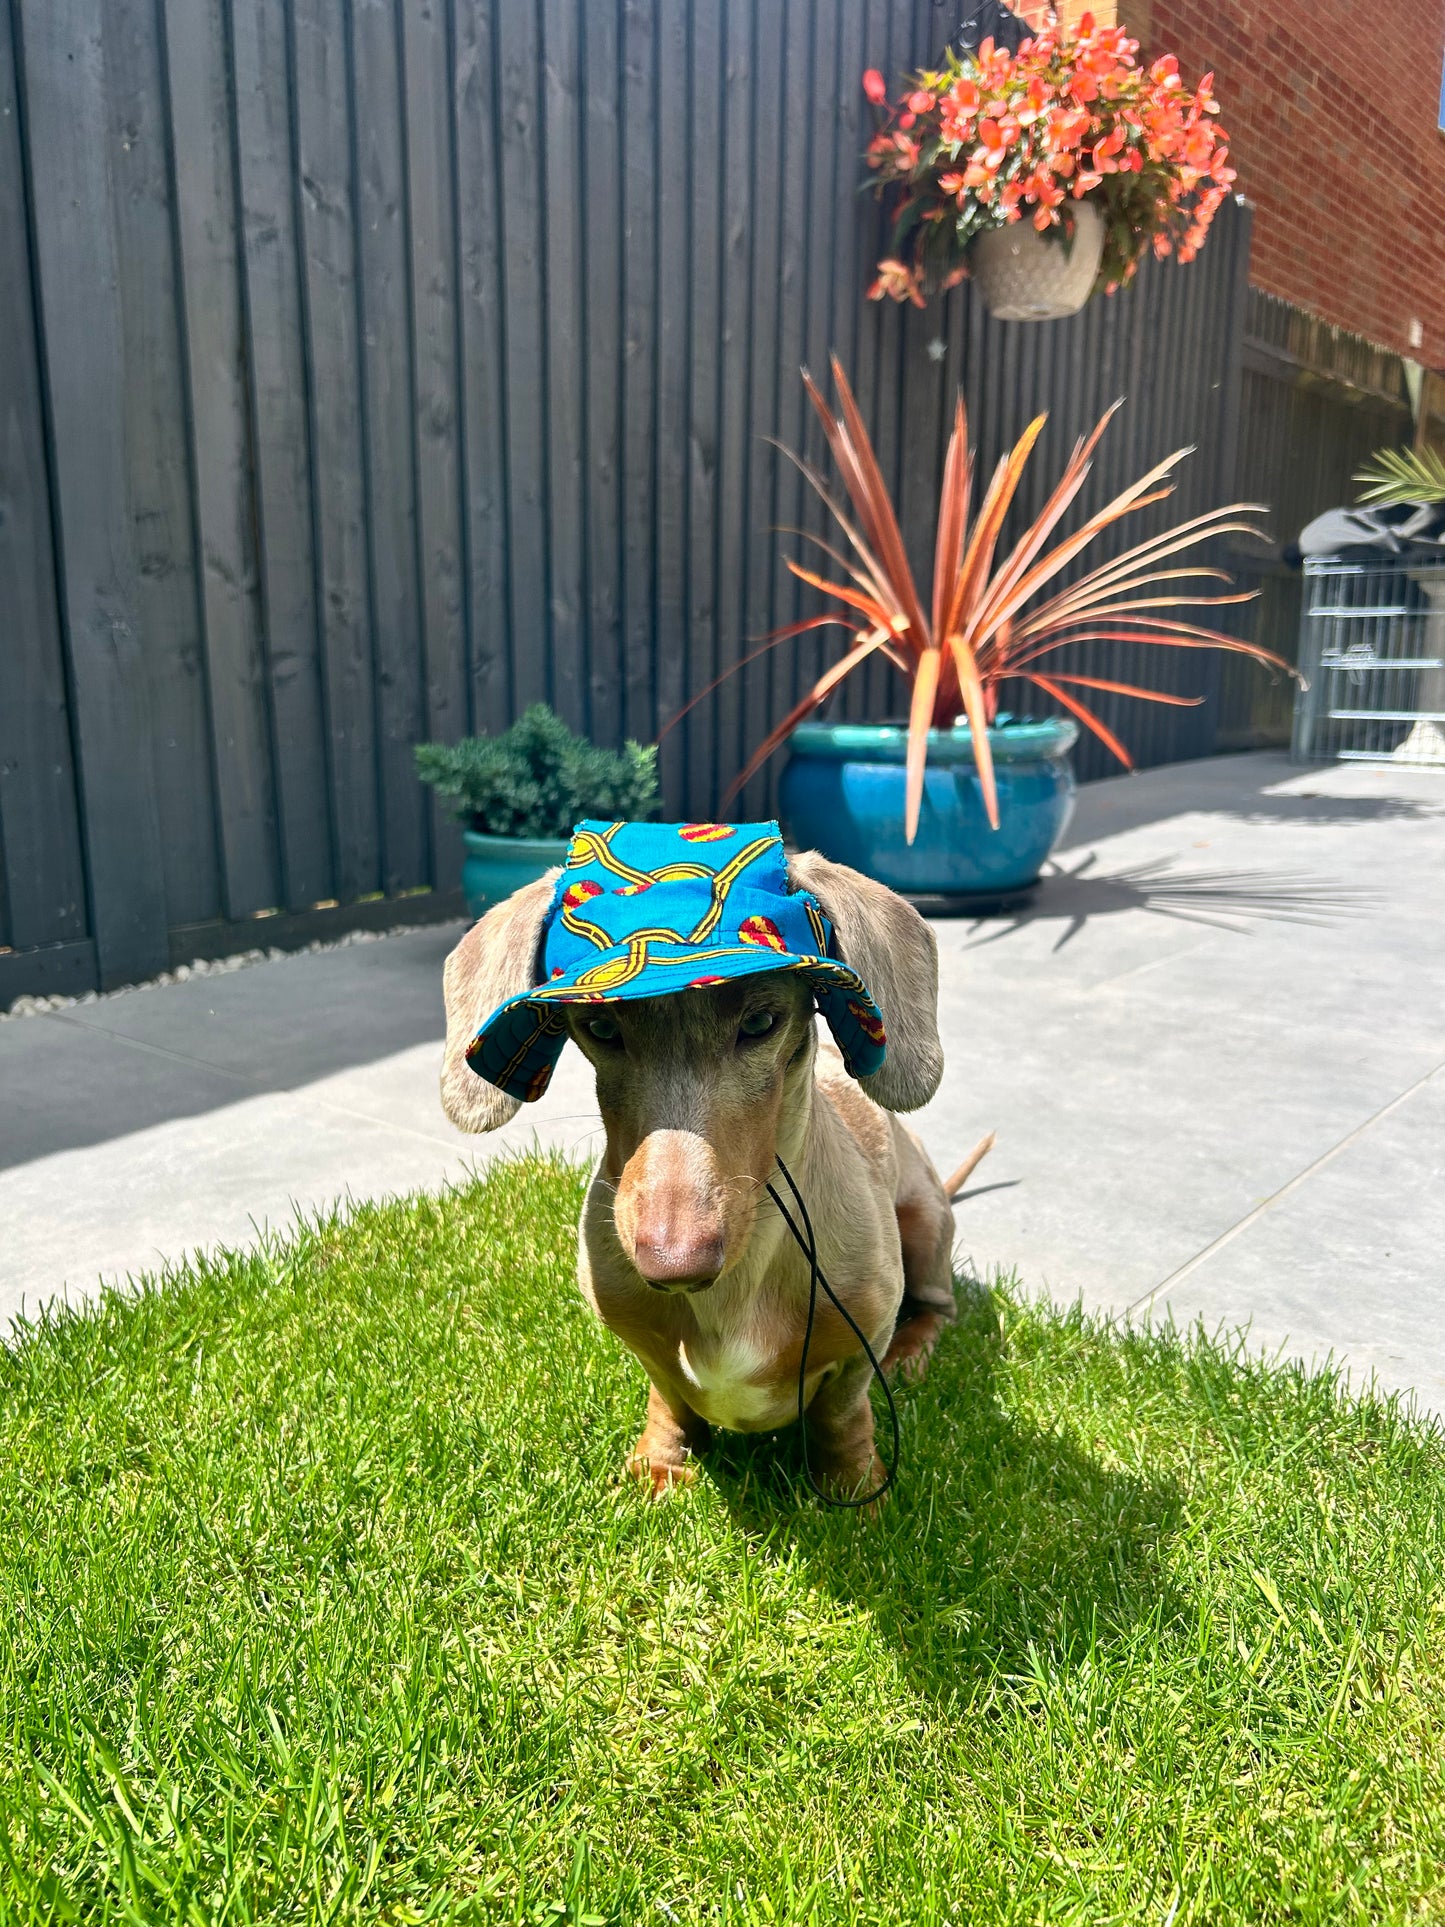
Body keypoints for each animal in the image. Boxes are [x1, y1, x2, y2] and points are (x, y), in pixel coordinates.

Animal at [441, 855, 986, 1503]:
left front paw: (855, 1490)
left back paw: (911, 1355)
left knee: (939, 1308)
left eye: (761, 1020)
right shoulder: (641, 1342)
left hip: (924, 1224)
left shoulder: (862, 1344)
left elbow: (842, 1416)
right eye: (600, 1027)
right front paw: (662, 1463)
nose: (674, 1265)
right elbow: (670, 1395)